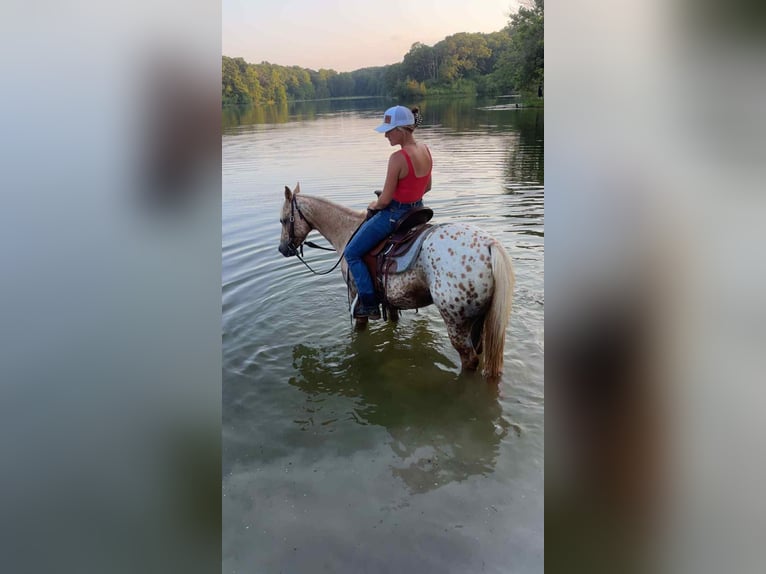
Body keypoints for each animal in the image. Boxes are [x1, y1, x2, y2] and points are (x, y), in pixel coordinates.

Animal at [277, 183, 515, 379]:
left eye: (283, 220)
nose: (282, 249)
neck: (347, 232)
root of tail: (489, 245)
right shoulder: (391, 301)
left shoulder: (357, 298)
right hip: (479, 321)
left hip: (456, 321)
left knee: (470, 360)